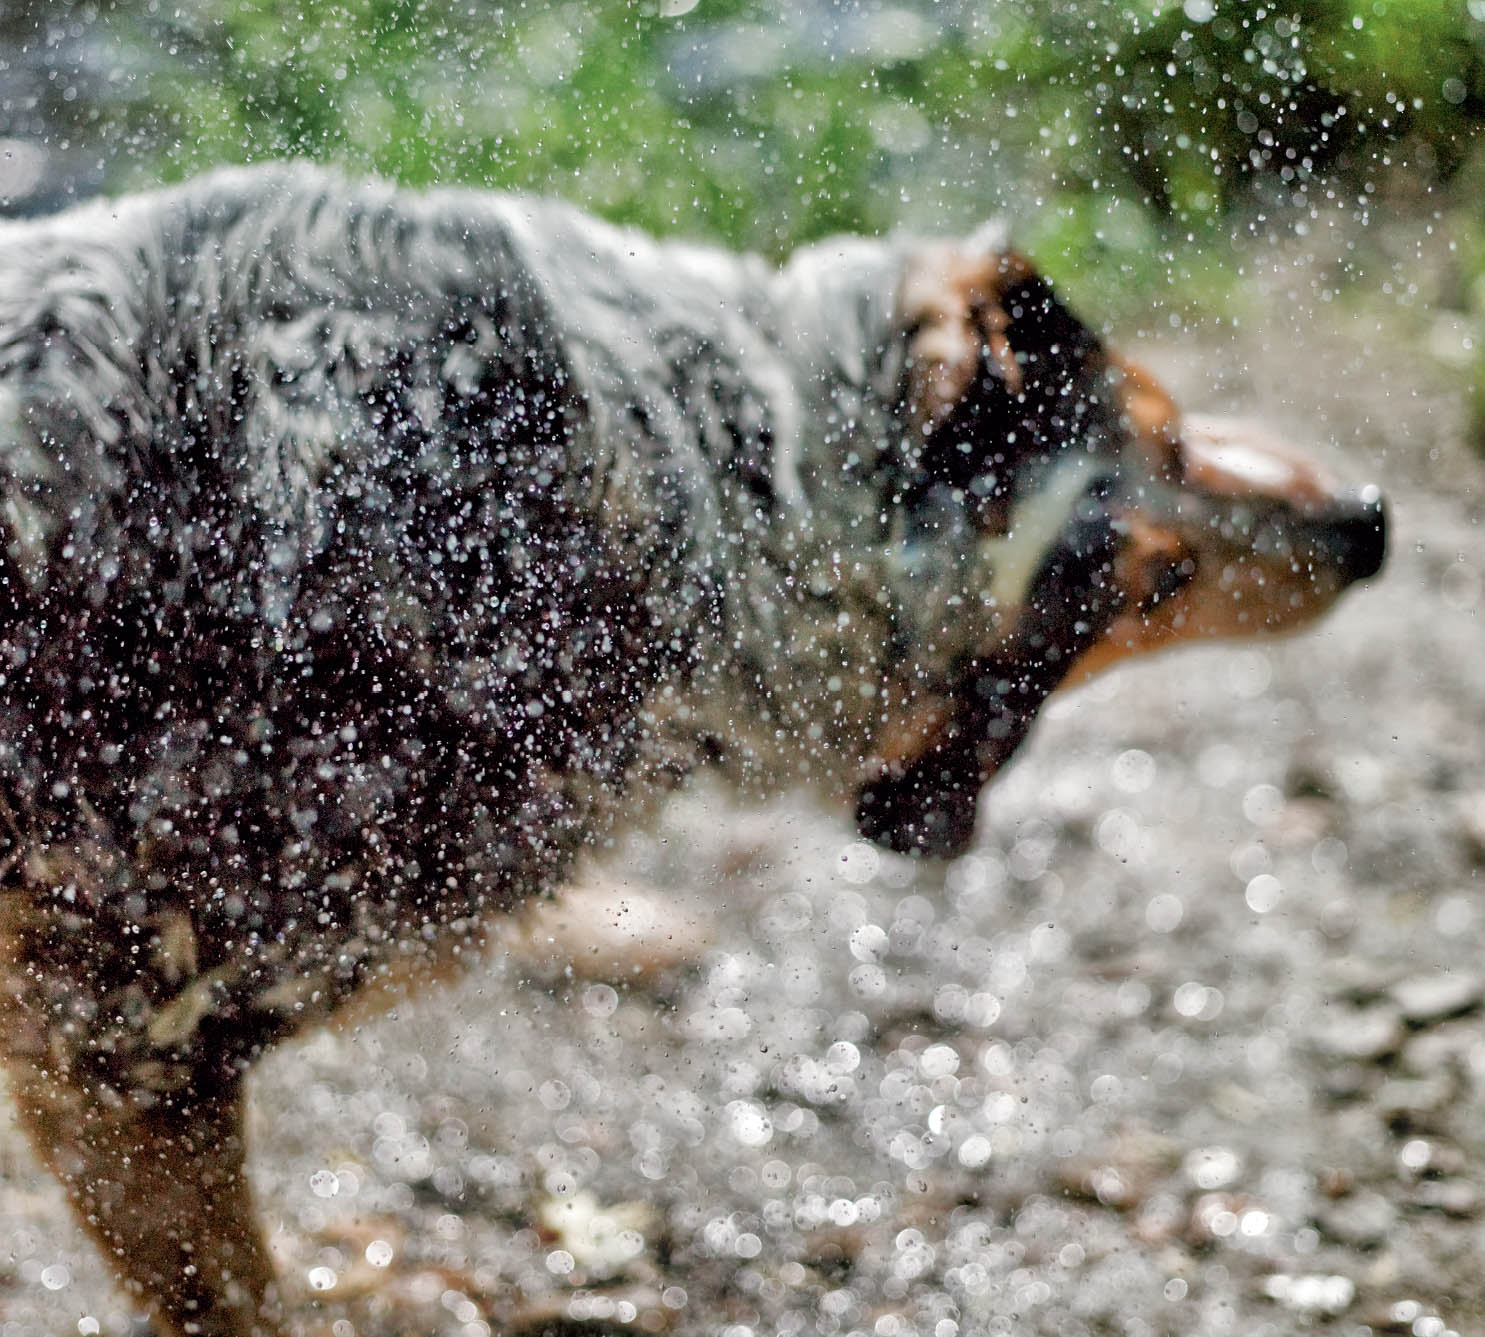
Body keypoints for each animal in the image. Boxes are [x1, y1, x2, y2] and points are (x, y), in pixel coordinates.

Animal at [0, 167, 1378, 1337]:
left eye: (1175, 418)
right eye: (1160, 579)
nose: (1374, 523)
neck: (699, 481)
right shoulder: (123, 1045)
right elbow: (229, 1285)